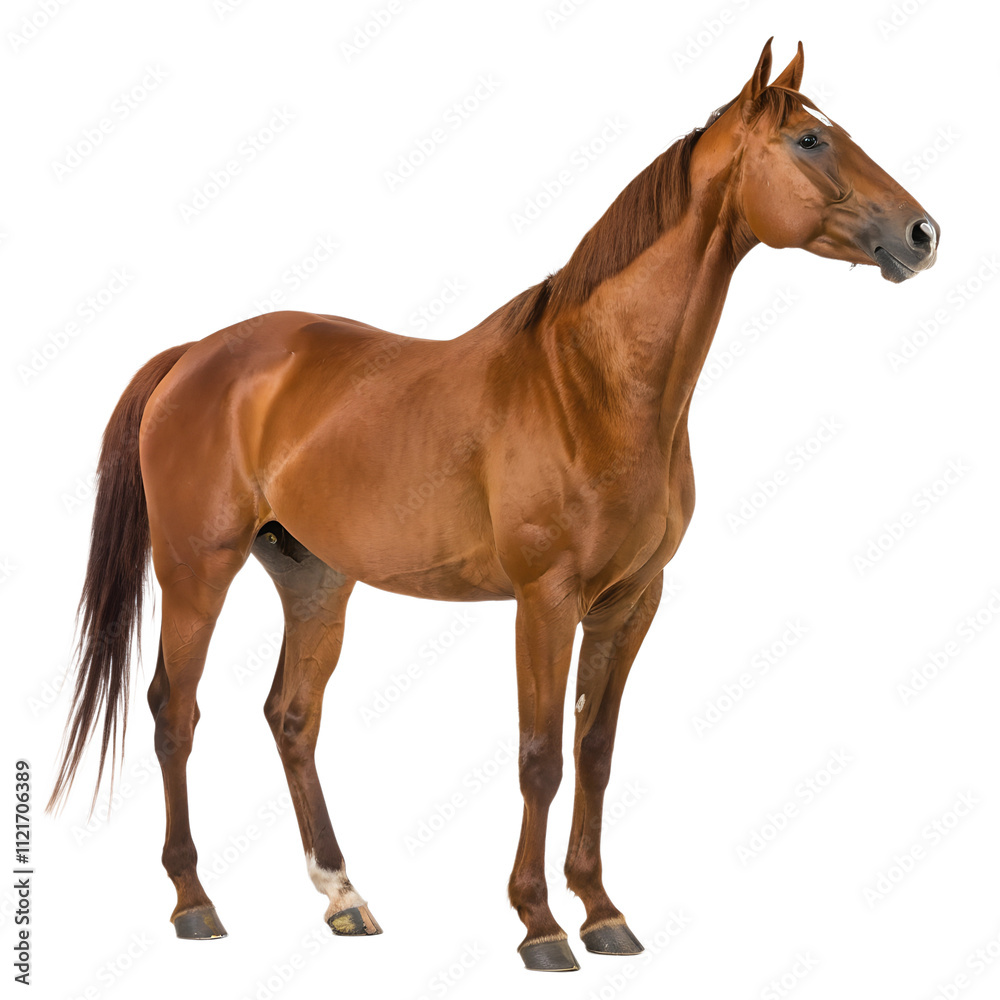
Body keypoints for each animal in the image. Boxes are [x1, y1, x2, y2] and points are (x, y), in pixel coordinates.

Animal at [47, 38, 938, 972]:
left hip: (315, 579)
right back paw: (195, 902)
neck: (592, 384)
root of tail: (194, 355)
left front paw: (603, 912)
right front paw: (540, 924)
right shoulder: (545, 600)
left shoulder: (630, 601)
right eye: (809, 140)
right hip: (196, 571)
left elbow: (595, 751)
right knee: (173, 714)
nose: (924, 234)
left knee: (292, 717)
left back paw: (344, 897)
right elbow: (540, 757)